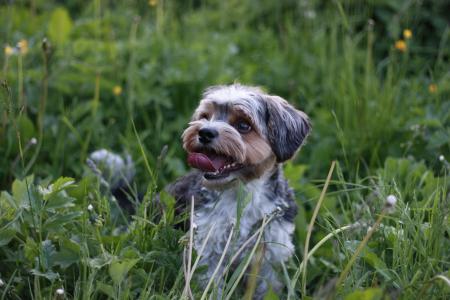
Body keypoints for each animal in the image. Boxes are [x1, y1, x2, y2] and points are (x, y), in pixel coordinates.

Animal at [167, 84, 312, 298]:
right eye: (205, 116)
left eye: (244, 125)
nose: (205, 132)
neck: (241, 192)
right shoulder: (207, 249)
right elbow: (209, 286)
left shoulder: (268, 255)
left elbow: (265, 288)